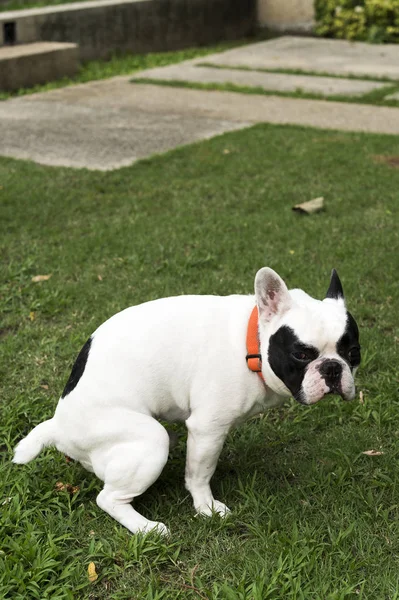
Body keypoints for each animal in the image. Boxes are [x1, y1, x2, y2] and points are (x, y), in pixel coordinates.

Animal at [13, 268, 362, 536]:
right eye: (301, 354)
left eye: (353, 352)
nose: (332, 368)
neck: (251, 341)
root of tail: (58, 426)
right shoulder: (207, 430)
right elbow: (199, 474)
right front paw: (206, 508)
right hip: (149, 441)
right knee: (108, 498)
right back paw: (146, 528)